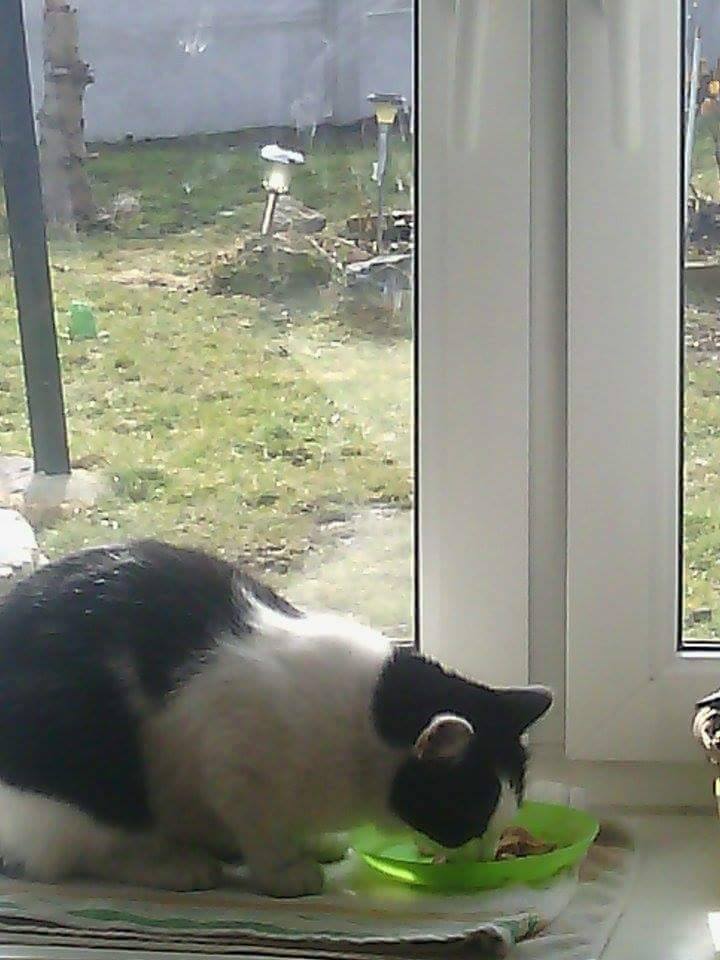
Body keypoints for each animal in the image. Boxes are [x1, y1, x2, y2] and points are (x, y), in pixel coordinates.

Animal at [0, 539, 552, 896]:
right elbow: (260, 832)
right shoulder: (232, 761)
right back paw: (172, 866)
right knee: (72, 854)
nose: (483, 857)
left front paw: (312, 845)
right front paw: (284, 872)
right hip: (88, 782)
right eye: (468, 818)